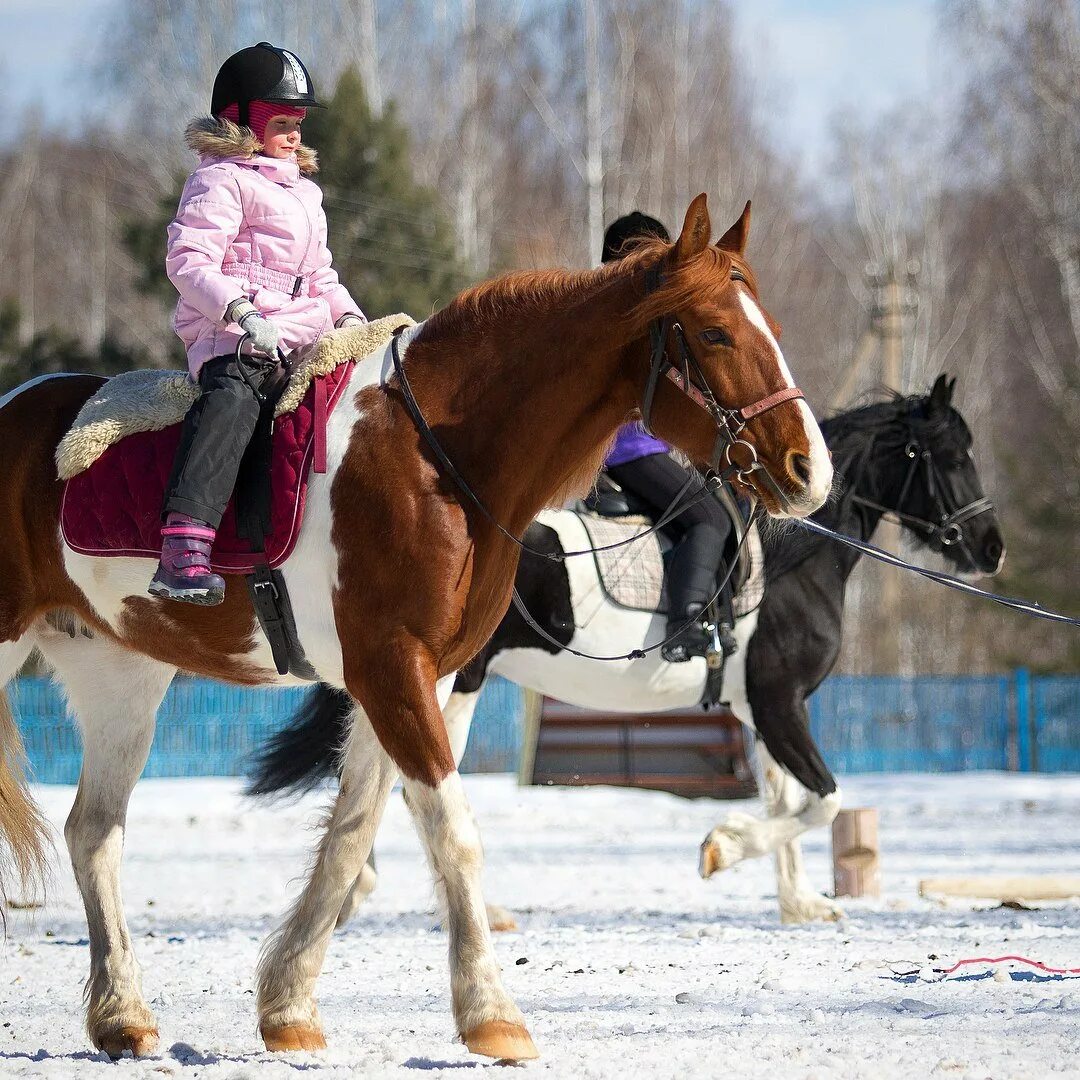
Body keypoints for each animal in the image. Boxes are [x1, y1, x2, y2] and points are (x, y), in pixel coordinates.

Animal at [0, 196, 829, 1062]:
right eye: (715, 333)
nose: (809, 469)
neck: (436, 461)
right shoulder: (394, 669)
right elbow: (451, 833)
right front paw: (492, 1015)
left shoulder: (409, 678)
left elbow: (351, 834)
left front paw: (289, 1005)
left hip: (121, 674)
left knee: (95, 832)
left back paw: (121, 1016)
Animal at [250, 375, 1002, 924]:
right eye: (950, 456)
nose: (992, 549)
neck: (795, 558)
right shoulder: (780, 700)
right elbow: (821, 801)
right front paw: (721, 849)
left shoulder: (762, 707)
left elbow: (787, 799)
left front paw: (800, 904)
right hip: (455, 680)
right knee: (415, 786)